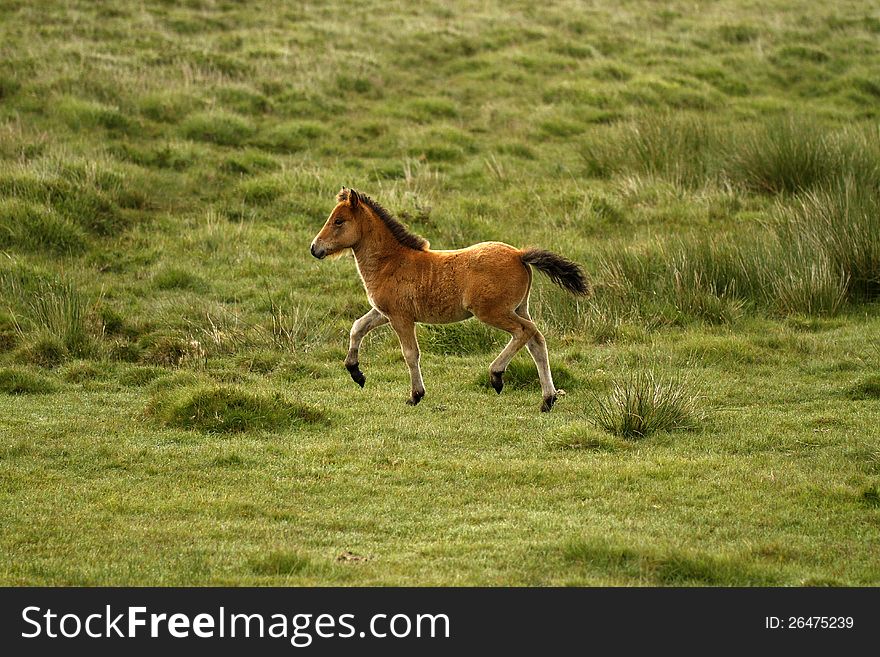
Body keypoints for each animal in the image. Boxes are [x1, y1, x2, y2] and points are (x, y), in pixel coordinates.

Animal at [312, 187, 592, 410]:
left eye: (339, 221)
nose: (315, 249)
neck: (391, 262)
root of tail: (519, 255)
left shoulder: (401, 318)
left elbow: (410, 353)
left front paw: (415, 395)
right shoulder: (383, 312)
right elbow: (357, 327)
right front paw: (356, 373)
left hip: (493, 311)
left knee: (524, 332)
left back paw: (497, 376)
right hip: (520, 308)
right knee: (537, 341)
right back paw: (547, 399)